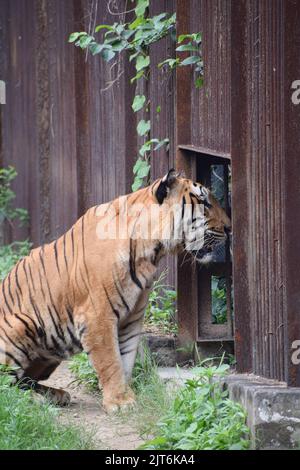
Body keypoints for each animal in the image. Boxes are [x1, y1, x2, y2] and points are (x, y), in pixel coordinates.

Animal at [0, 169, 231, 412]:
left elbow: (125, 360)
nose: (229, 228)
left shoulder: (131, 318)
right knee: (7, 388)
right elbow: (110, 361)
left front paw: (126, 397)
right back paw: (36, 400)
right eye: (204, 201)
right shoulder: (97, 316)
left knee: (24, 380)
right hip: (22, 324)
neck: (150, 251)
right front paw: (120, 402)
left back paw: (55, 394)